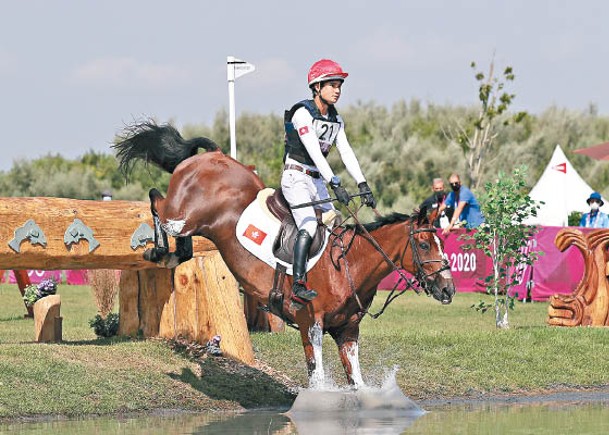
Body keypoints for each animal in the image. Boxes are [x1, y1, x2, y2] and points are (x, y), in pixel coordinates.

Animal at [115, 122, 456, 388]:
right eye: (424, 245)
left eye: (440, 242)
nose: (448, 289)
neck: (347, 267)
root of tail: (214, 155)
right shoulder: (310, 324)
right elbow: (318, 380)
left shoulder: (347, 332)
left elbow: (357, 385)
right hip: (184, 212)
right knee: (157, 203)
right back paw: (157, 248)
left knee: (172, 224)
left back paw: (175, 253)